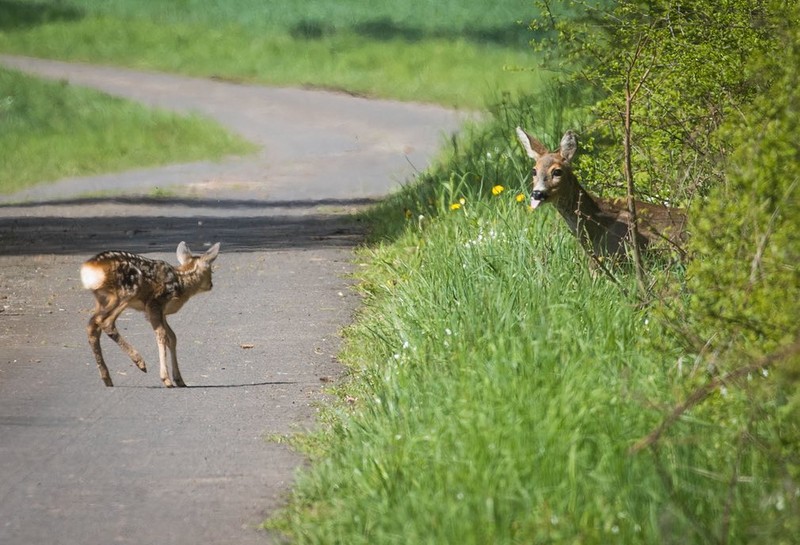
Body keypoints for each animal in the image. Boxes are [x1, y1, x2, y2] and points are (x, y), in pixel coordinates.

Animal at [81, 241, 220, 386]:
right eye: (211, 270)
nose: (211, 284)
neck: (181, 283)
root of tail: (89, 269)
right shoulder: (155, 303)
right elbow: (162, 335)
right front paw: (166, 379)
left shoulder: (161, 312)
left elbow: (172, 337)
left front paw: (179, 379)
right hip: (128, 291)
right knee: (105, 322)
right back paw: (139, 362)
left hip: (102, 299)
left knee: (92, 326)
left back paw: (107, 378)